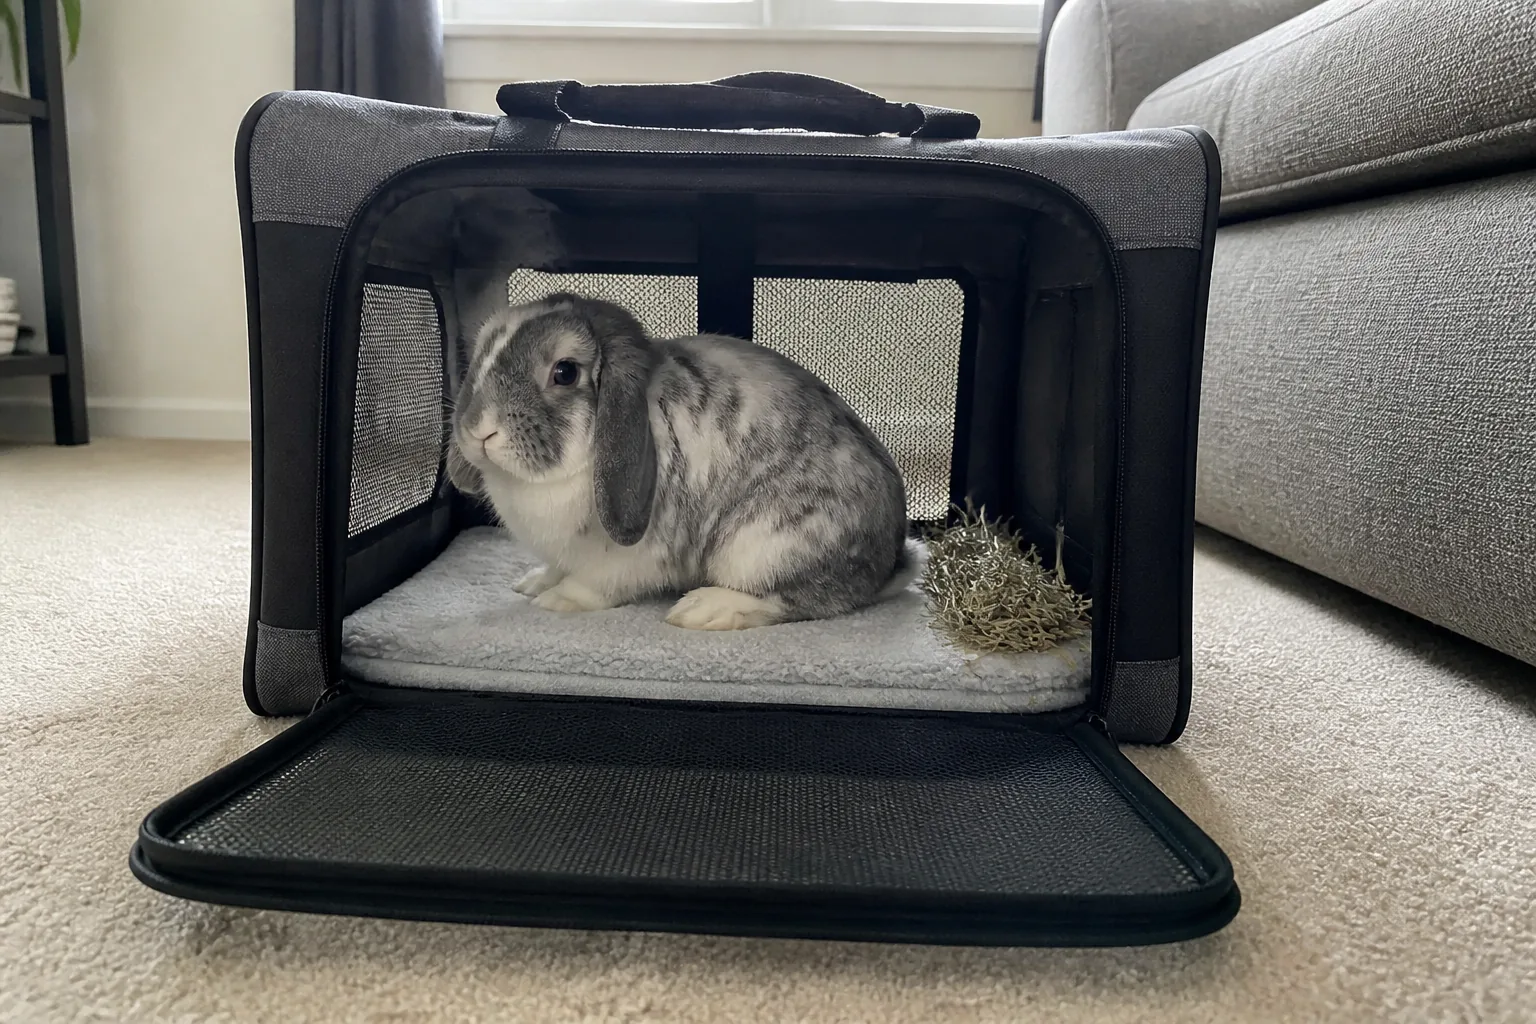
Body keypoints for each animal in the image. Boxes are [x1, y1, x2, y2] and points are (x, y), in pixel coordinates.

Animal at [445, 291, 921, 631]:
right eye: (482, 358)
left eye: (564, 372)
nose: (479, 430)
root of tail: (889, 562)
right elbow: (556, 566)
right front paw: (534, 583)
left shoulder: (622, 561)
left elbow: (594, 585)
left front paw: (556, 600)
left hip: (763, 546)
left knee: (804, 600)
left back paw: (704, 610)